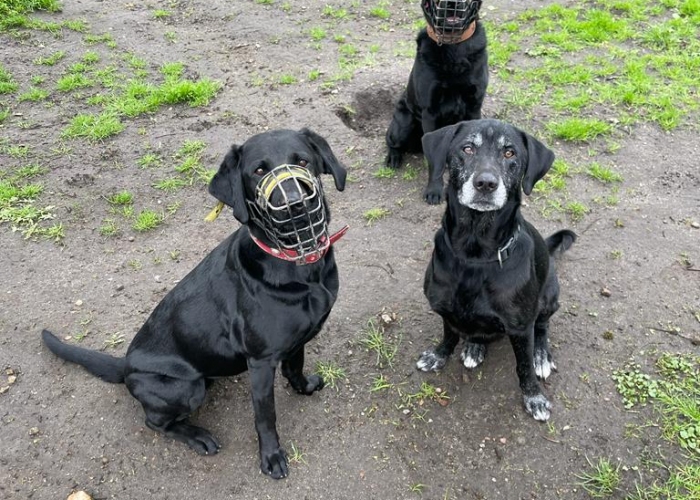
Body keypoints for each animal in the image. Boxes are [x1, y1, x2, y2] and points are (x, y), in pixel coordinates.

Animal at [41, 127, 348, 478]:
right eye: (258, 171)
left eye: (303, 161)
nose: (295, 204)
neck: (301, 267)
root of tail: (126, 365)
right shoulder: (260, 362)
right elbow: (265, 416)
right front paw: (271, 457)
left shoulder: (296, 341)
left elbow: (295, 366)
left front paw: (304, 386)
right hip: (188, 388)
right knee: (154, 422)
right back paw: (197, 436)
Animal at [382, 0, 486, 203]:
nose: (452, 4)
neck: (453, 46)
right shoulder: (430, 112)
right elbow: (433, 162)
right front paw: (434, 191)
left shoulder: (474, 107)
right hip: (403, 124)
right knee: (390, 140)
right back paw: (393, 158)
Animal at [416, 120, 576, 422]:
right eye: (467, 148)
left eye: (510, 153)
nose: (486, 183)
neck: (475, 254)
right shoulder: (445, 308)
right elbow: (449, 334)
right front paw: (439, 355)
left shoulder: (520, 326)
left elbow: (523, 366)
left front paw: (534, 396)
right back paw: (475, 346)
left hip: (550, 294)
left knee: (543, 326)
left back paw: (541, 356)